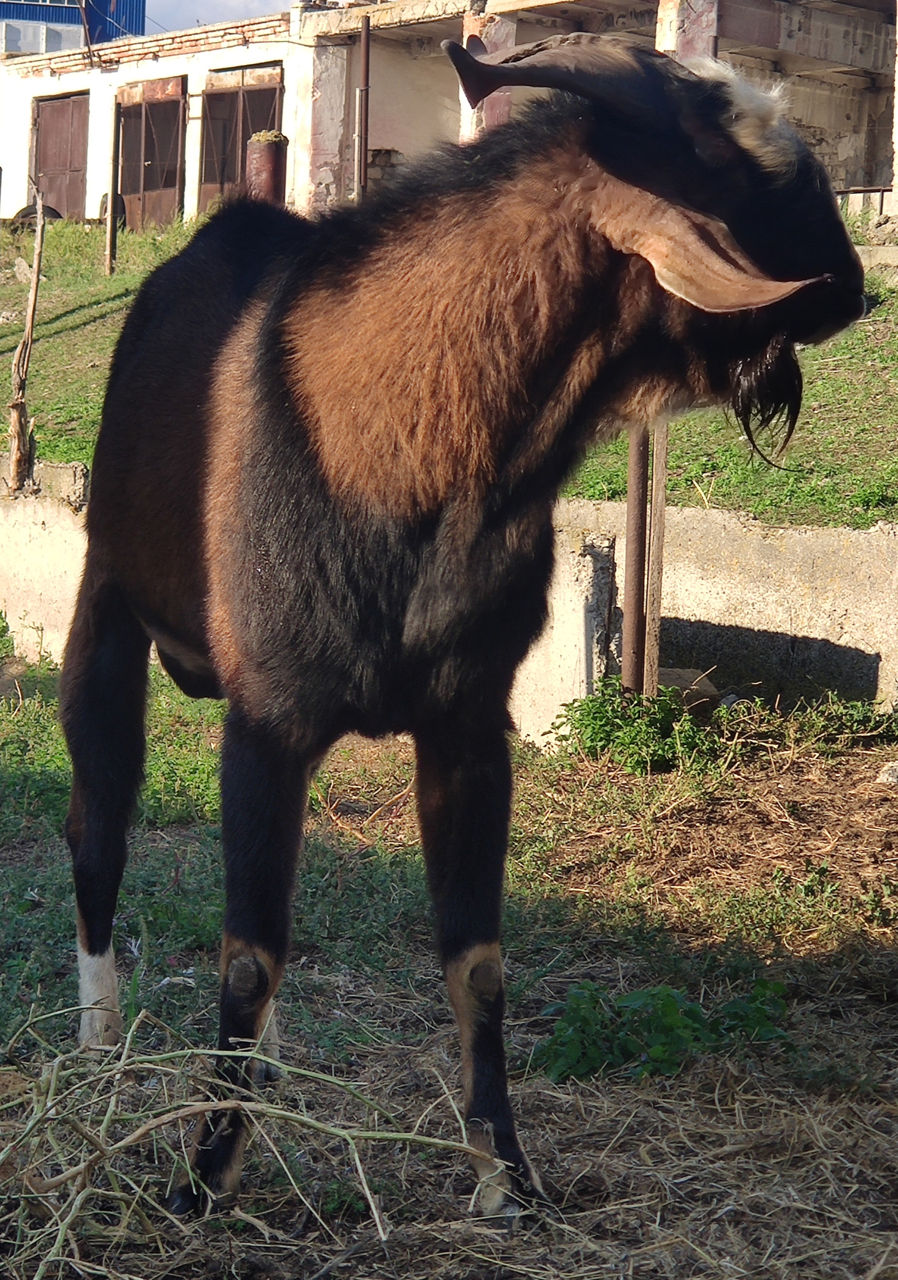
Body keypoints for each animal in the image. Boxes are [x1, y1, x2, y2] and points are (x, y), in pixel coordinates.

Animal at [61, 35, 864, 1223]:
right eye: (747, 170)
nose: (856, 286)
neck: (412, 460)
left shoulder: (469, 726)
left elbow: (475, 960)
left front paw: (506, 1173)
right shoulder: (268, 722)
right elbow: (249, 954)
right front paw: (204, 1174)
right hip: (106, 609)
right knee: (98, 831)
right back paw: (100, 1046)